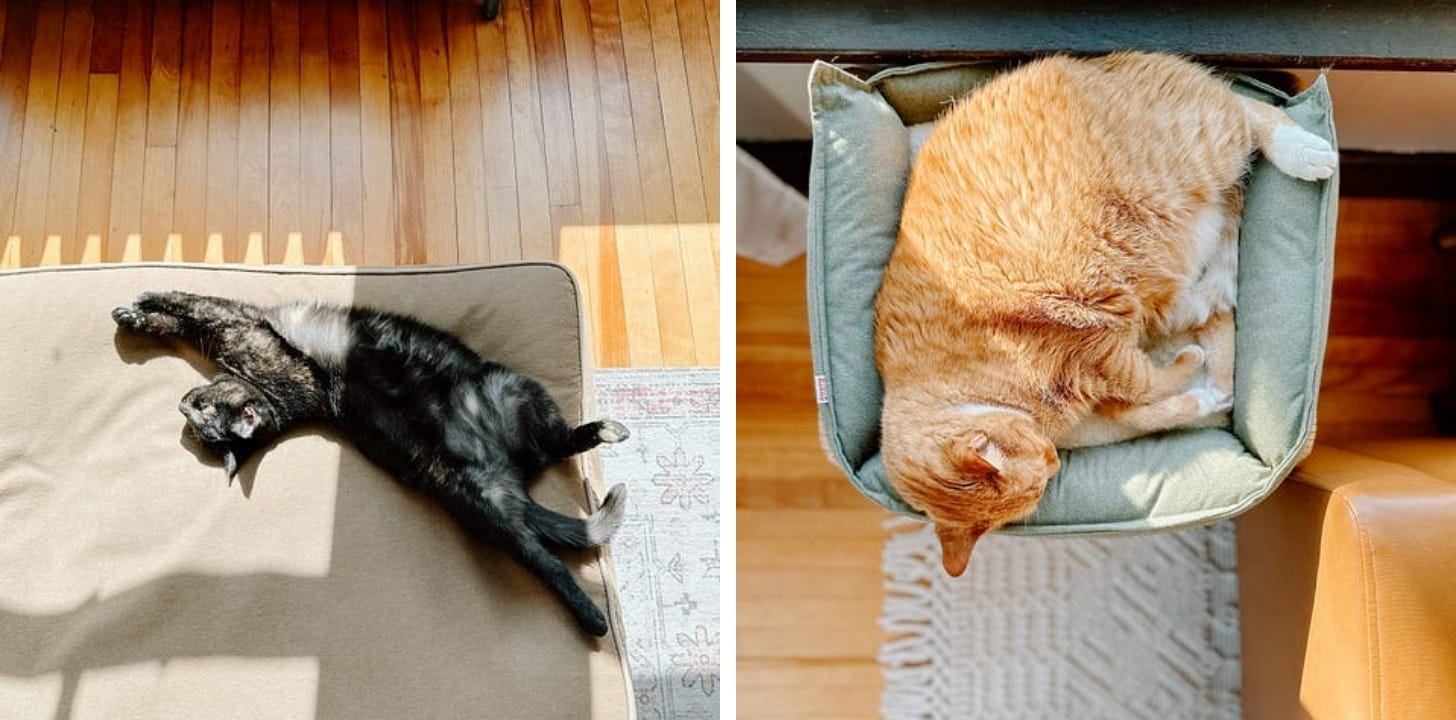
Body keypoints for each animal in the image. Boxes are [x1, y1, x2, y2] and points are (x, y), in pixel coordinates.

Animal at [867, 53, 1333, 578]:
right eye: (1040, 478)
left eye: (1042, 464)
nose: (1055, 460)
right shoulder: (1104, 386)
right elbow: (1148, 407)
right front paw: (1202, 395)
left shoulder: (1097, 348)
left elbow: (1147, 382)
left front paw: (1191, 371)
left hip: (1198, 152)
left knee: (1249, 108)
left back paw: (1307, 152)